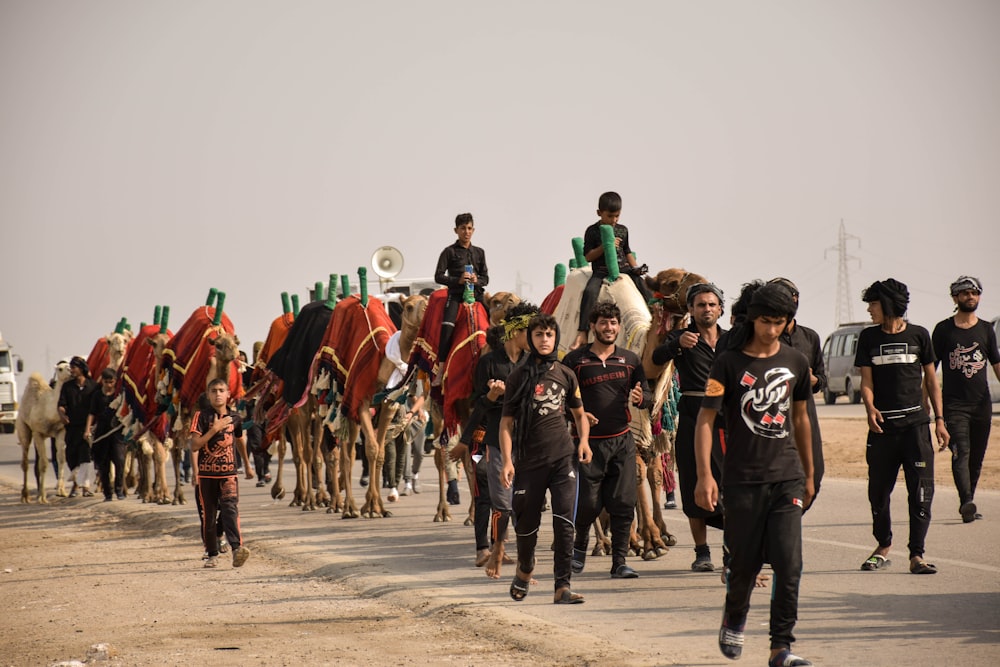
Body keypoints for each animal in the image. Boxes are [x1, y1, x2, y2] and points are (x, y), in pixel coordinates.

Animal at [16, 362, 72, 504]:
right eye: (60, 368)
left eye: (70, 365)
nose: (71, 371)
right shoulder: (38, 433)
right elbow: (44, 464)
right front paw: (42, 496)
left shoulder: (60, 431)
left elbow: (61, 458)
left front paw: (61, 491)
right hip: (23, 428)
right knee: (25, 461)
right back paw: (25, 495)